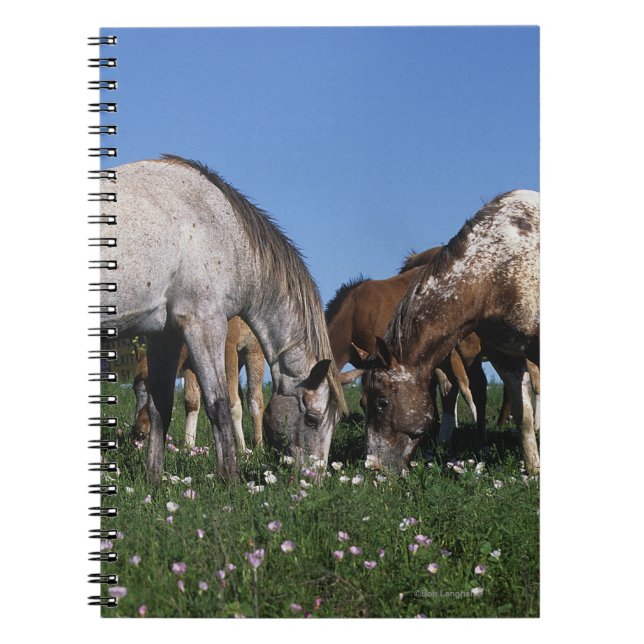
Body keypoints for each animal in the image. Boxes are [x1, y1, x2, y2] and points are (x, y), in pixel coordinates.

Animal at [131, 317, 266, 451]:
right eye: (134, 389)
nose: (137, 432)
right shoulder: (190, 363)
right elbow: (193, 401)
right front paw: (189, 446)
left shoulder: (228, 347)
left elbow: (232, 403)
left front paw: (242, 450)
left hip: (249, 351)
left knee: (251, 400)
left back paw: (254, 446)